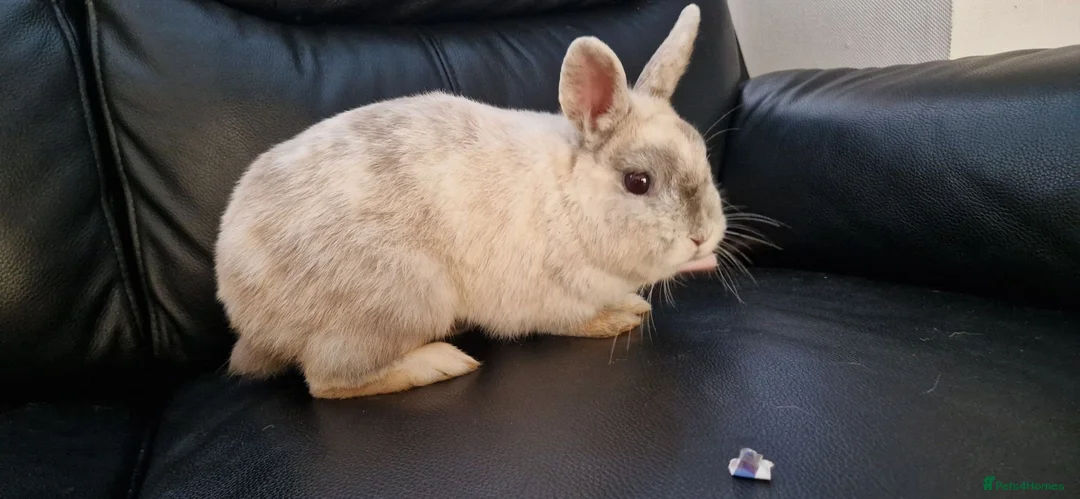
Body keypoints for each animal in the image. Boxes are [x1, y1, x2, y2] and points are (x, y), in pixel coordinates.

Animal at [215, 4, 726, 399]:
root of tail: (243, 307)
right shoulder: (548, 300)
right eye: (638, 182)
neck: (567, 199)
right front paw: (623, 316)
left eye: (703, 154)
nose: (701, 237)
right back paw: (440, 362)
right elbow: (577, 320)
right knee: (328, 380)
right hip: (399, 297)